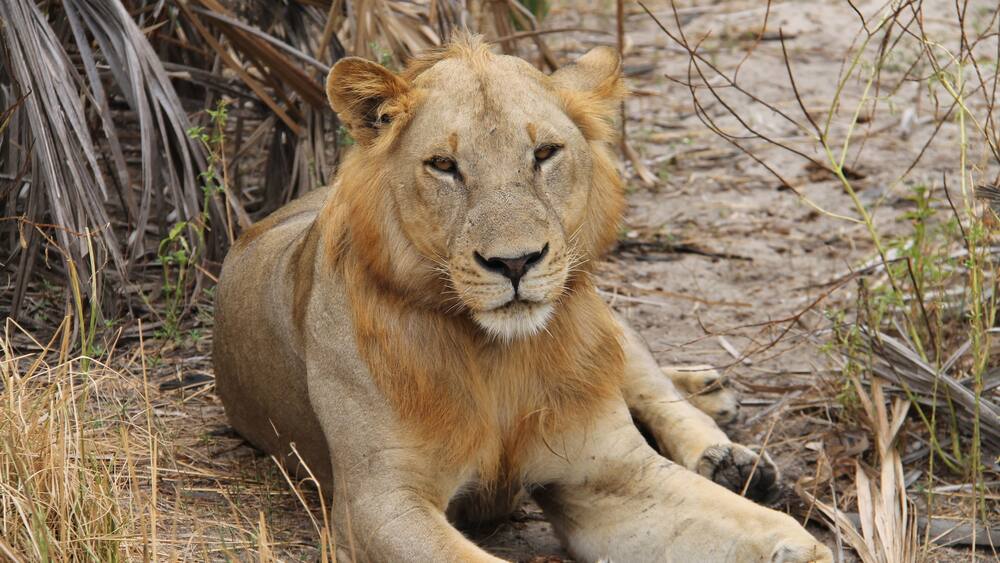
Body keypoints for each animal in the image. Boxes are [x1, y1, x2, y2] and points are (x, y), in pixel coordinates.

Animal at [213, 36, 832, 562]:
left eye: (545, 152)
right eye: (444, 165)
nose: (515, 262)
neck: (500, 357)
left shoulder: (611, 474)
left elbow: (758, 524)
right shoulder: (380, 506)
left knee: (649, 380)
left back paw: (728, 451)